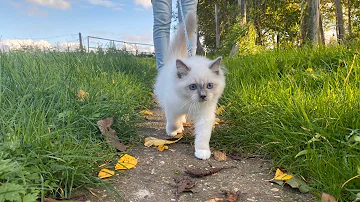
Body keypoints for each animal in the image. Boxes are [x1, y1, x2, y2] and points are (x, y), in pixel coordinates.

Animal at [154, 13, 225, 161]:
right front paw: (173, 131)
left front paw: (202, 152)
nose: (203, 96)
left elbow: (203, 136)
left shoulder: (205, 116)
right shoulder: (172, 108)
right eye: (193, 87)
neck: (191, 104)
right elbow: (173, 122)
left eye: (209, 86)